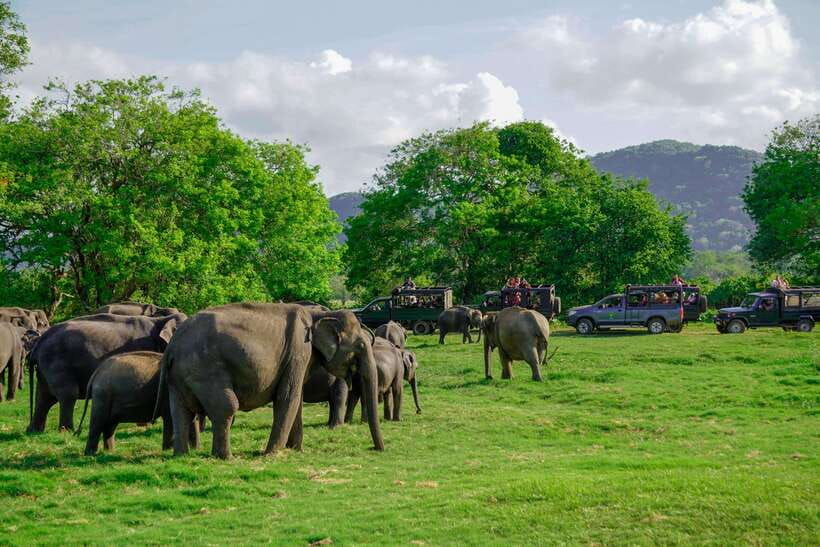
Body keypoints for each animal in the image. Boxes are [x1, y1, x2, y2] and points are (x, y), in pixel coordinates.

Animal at [26, 312, 187, 433]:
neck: (162, 320)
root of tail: (38, 343)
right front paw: (143, 425)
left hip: (45, 367)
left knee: (43, 397)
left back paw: (34, 431)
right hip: (57, 364)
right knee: (67, 394)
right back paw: (68, 431)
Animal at [157, 303, 384, 459]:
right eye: (360, 346)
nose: (378, 449)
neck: (317, 314)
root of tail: (172, 346)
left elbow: (296, 399)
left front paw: (296, 450)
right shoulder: (298, 350)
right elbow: (288, 397)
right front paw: (272, 454)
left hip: (178, 377)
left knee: (181, 411)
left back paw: (182, 456)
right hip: (204, 369)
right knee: (226, 407)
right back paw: (226, 458)